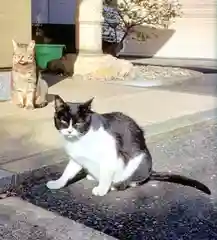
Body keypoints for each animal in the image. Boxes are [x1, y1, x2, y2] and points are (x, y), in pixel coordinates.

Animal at [46, 94, 211, 196]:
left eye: (78, 123)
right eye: (63, 121)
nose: (69, 131)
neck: (80, 140)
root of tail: (150, 171)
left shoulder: (110, 154)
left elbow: (106, 174)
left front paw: (102, 189)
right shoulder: (76, 158)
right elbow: (67, 172)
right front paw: (57, 183)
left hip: (139, 161)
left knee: (130, 181)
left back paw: (115, 185)